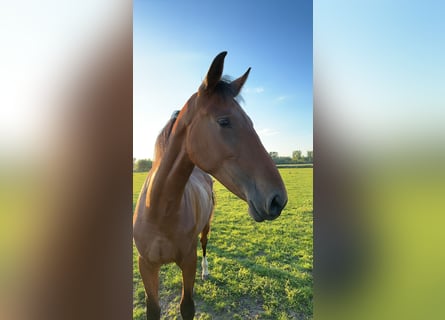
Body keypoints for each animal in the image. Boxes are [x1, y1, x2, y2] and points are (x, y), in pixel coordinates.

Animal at [132, 51, 288, 318]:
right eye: (224, 121)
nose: (278, 199)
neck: (159, 211)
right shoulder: (146, 265)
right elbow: (153, 308)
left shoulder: (188, 261)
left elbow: (187, 306)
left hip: (206, 227)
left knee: (205, 245)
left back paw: (206, 271)